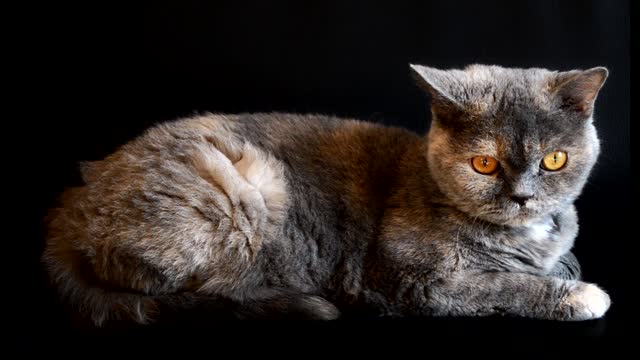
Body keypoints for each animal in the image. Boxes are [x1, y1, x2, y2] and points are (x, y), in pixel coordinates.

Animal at [42, 64, 612, 326]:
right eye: (485, 163)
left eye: (554, 160)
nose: (523, 197)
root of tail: (71, 205)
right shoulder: (416, 282)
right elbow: (505, 285)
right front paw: (581, 295)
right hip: (245, 190)